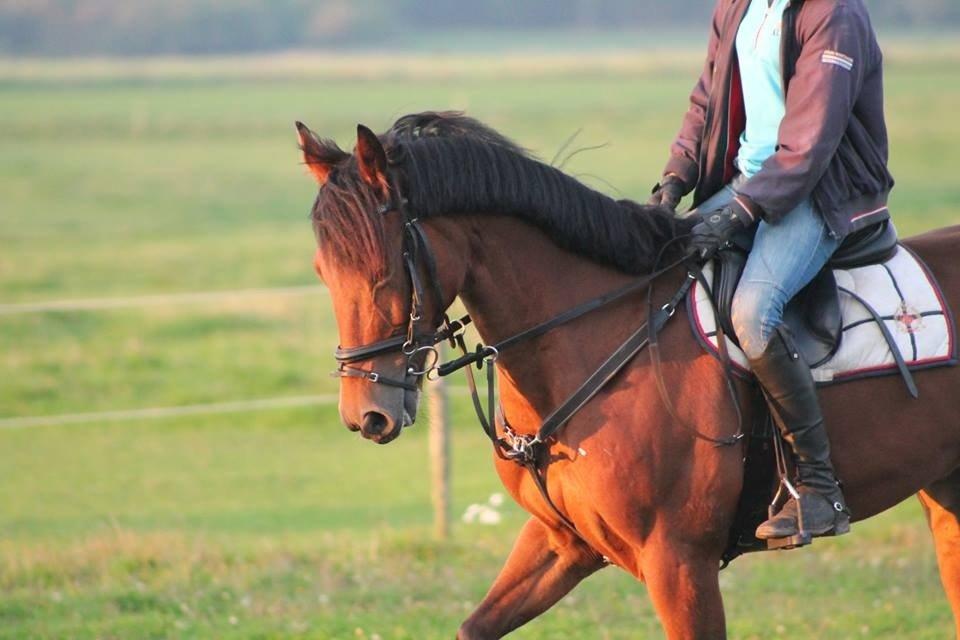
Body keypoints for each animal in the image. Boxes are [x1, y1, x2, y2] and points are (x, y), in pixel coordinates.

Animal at [296, 112, 960, 639]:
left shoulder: (680, 565)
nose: (367, 414)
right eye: (323, 269)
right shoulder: (563, 542)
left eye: (384, 271)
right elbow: (474, 626)